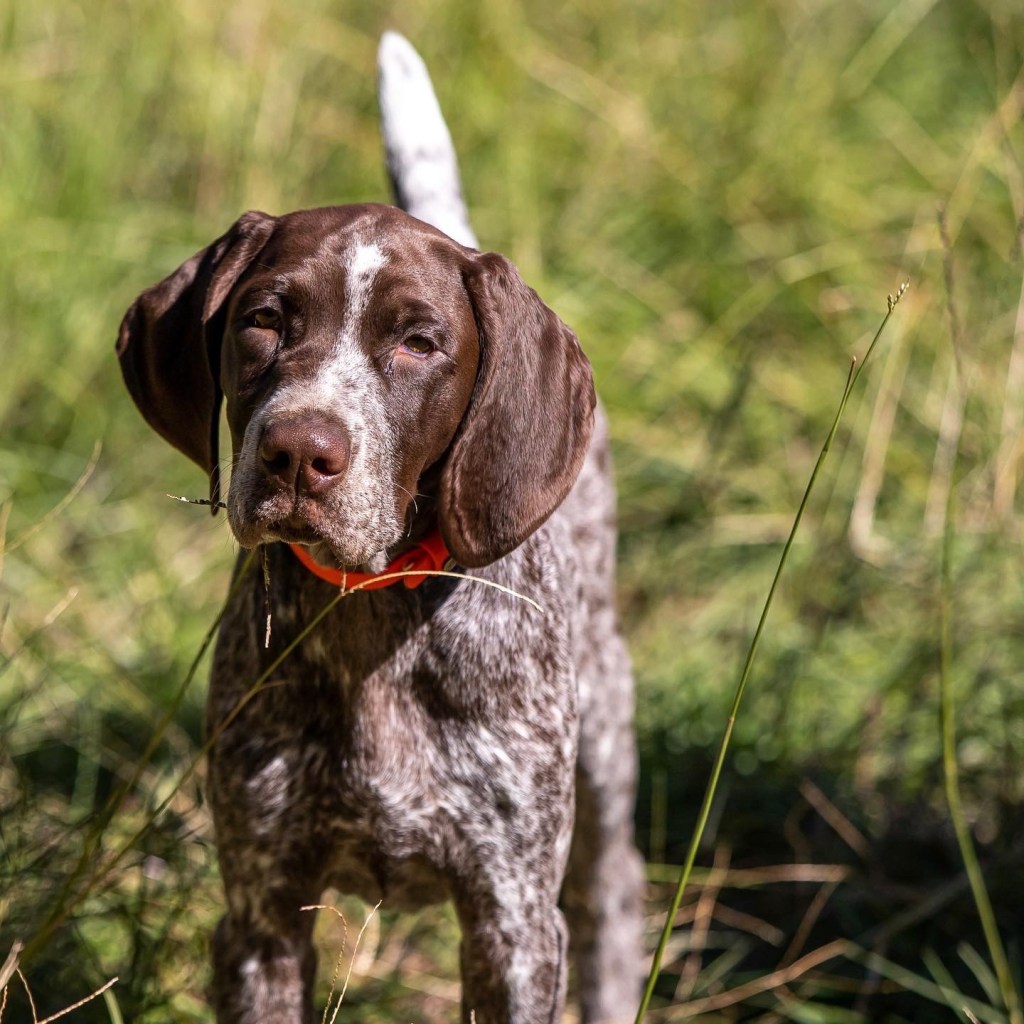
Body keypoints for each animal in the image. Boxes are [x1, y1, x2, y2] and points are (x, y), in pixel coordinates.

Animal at [117, 32, 644, 1024]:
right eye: (263, 321)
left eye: (418, 343)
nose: (296, 453)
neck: (370, 614)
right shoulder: (261, 918)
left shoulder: (512, 925)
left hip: (601, 733)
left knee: (614, 892)